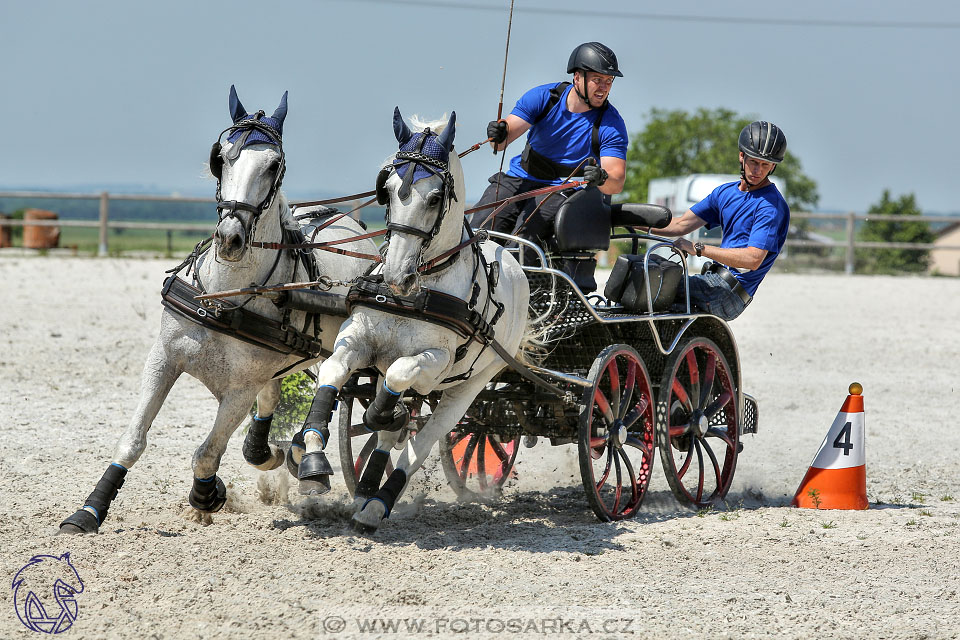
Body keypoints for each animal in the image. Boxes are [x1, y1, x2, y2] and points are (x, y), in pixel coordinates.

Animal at [59, 86, 376, 536]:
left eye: (274, 164)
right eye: (220, 157)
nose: (230, 238)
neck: (221, 299)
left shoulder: (238, 390)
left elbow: (207, 452)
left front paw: (206, 496)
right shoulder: (163, 359)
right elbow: (134, 439)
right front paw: (90, 511)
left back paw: (306, 455)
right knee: (276, 398)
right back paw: (281, 452)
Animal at [292, 110, 532, 536]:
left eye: (435, 197)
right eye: (385, 191)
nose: (396, 276)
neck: (422, 287)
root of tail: (512, 257)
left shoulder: (436, 360)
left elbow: (398, 382)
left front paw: (388, 417)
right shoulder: (359, 339)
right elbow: (334, 374)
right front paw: (313, 460)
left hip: (471, 384)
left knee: (426, 438)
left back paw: (377, 504)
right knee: (391, 431)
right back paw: (366, 488)